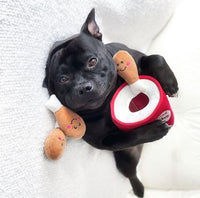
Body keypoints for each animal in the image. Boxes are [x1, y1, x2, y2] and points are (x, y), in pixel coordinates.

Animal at [43, 8, 178, 197]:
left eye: (92, 61)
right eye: (63, 79)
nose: (83, 87)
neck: (108, 99)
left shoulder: (136, 58)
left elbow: (155, 57)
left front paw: (170, 84)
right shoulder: (105, 141)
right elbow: (129, 136)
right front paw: (154, 130)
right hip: (124, 160)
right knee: (131, 173)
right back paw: (139, 189)